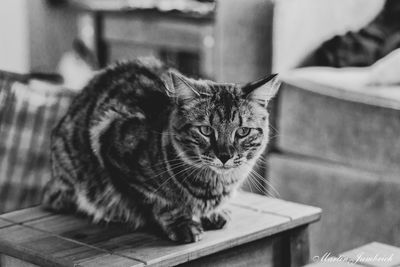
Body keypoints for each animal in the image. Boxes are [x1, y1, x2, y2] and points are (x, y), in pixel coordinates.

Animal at [42, 57, 280, 244]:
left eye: (242, 132)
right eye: (205, 130)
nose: (224, 156)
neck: (213, 185)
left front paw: (213, 214)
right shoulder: (110, 143)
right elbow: (159, 200)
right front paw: (181, 223)